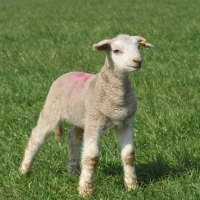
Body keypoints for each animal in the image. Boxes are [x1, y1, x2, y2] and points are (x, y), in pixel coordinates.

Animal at [19, 34, 153, 197]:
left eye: (138, 47)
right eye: (116, 50)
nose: (137, 61)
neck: (116, 100)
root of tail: (68, 73)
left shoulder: (126, 122)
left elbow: (129, 155)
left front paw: (132, 186)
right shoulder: (94, 122)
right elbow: (92, 157)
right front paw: (86, 190)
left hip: (81, 117)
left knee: (72, 137)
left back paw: (73, 171)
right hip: (52, 109)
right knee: (36, 137)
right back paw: (24, 171)